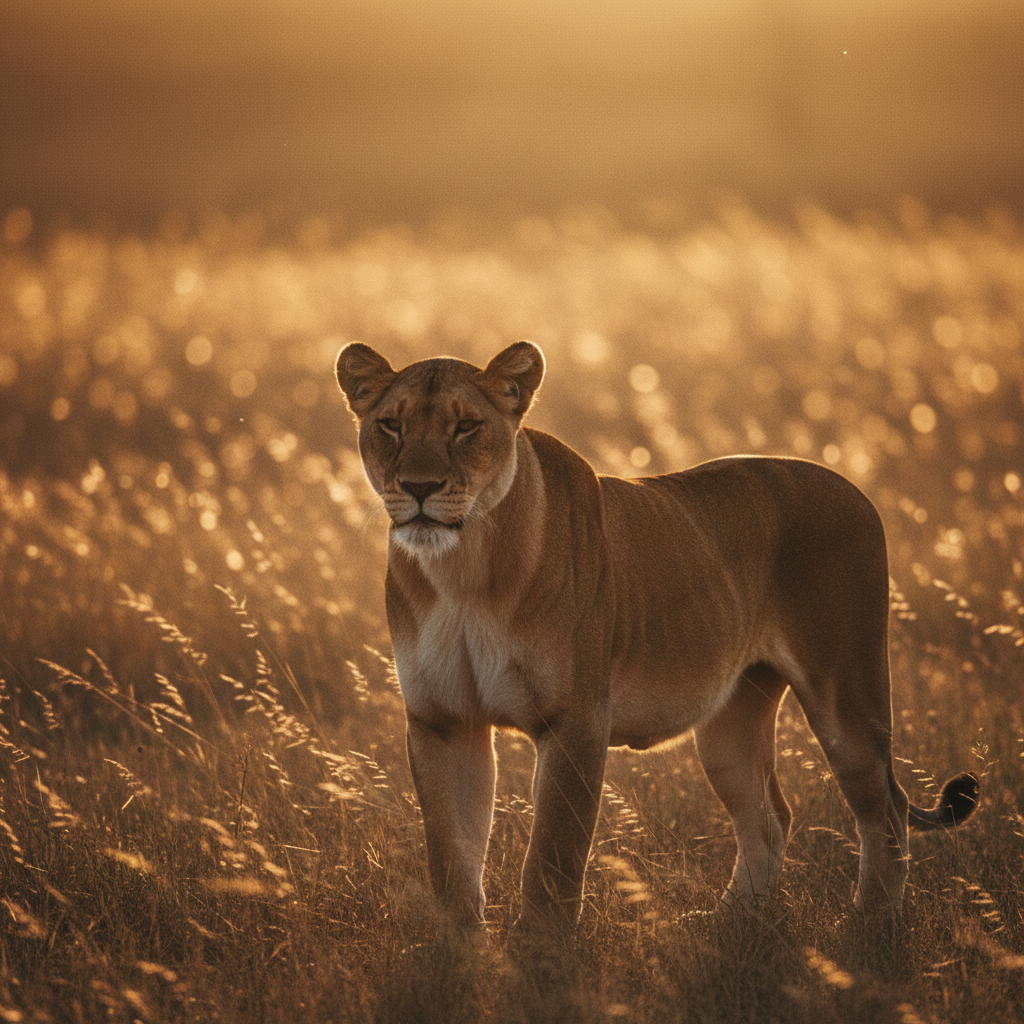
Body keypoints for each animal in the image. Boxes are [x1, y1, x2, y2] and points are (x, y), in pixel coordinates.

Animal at [335, 339, 978, 943]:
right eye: (390, 425)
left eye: (466, 426)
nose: (419, 487)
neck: (463, 569)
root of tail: (853, 487)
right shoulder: (444, 721)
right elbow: (452, 856)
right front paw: (462, 956)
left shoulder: (575, 719)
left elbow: (552, 855)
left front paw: (537, 957)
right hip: (730, 721)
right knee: (769, 817)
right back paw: (725, 923)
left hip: (846, 694)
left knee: (886, 809)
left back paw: (870, 926)